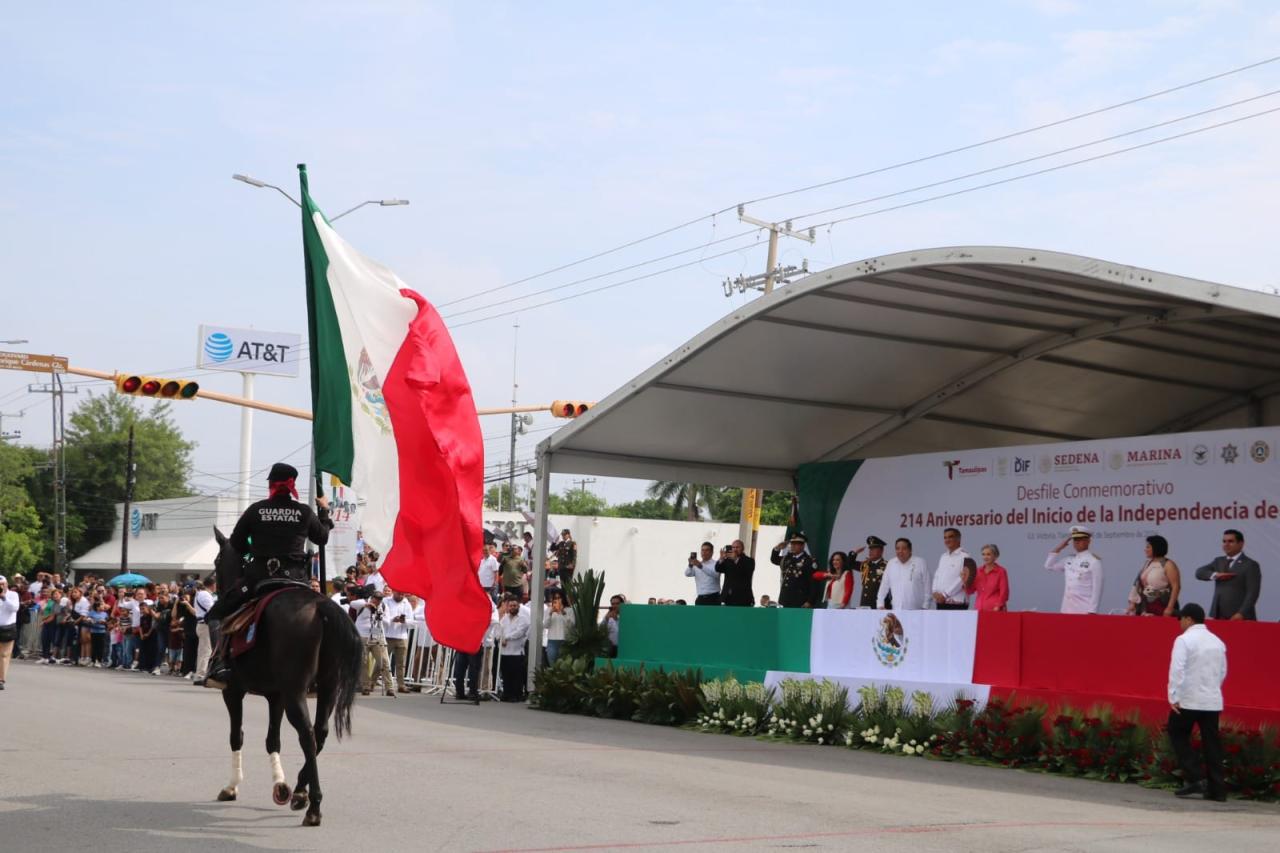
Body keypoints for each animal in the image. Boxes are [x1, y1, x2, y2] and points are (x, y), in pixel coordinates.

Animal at [212, 527, 363, 827]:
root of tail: (320, 606)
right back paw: (300, 792)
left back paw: (314, 805)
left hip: (296, 692)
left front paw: (232, 787)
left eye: (217, 561)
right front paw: (280, 785)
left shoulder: (233, 691)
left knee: (306, 733)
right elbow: (273, 739)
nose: (217, 587)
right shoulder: (275, 695)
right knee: (319, 732)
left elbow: (237, 735)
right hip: (328, 687)